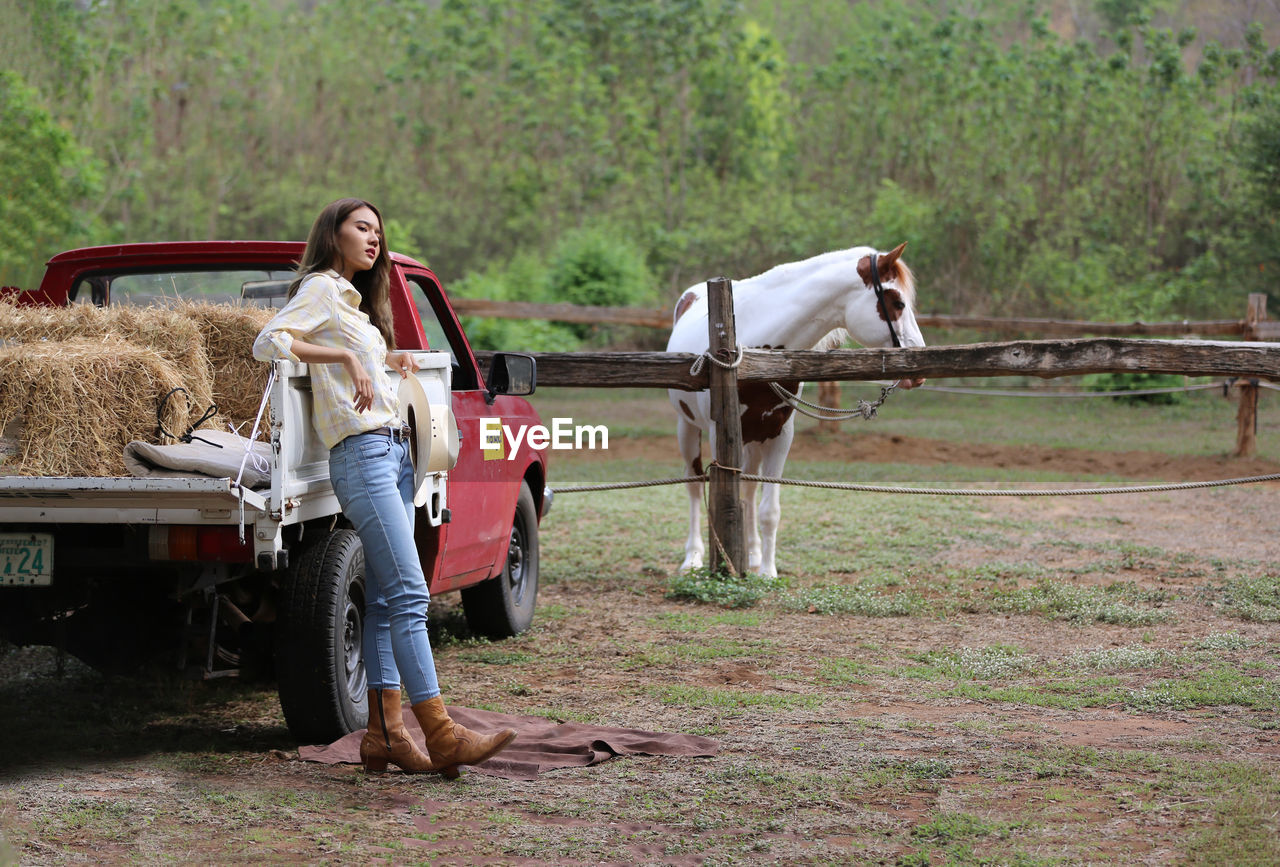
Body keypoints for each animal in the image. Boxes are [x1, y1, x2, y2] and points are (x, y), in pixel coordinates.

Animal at [665, 243, 926, 578]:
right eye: (897, 302)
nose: (918, 372)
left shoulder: (780, 435)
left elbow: (769, 510)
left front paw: (767, 571)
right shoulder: (717, 434)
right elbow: (719, 496)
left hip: (753, 440)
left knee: (749, 490)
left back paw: (752, 554)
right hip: (687, 429)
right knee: (695, 485)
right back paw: (693, 557)